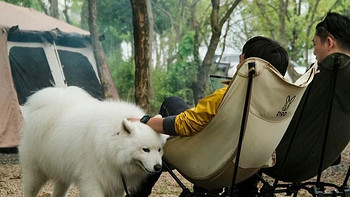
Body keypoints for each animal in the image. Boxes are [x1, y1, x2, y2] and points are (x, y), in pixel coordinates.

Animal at [18, 86, 167, 197]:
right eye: (145, 149)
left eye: (159, 150)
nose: (158, 167)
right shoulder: (91, 179)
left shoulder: (116, 183)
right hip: (35, 172)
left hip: (62, 172)